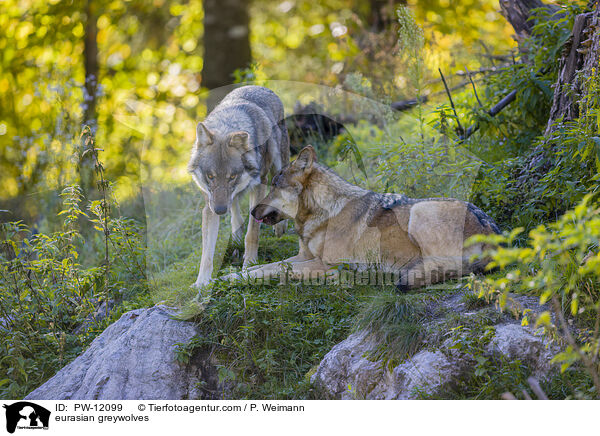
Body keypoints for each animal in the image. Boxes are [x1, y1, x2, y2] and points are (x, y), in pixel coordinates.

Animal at [189, 85, 290, 290]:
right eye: (210, 176)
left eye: (232, 177)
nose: (220, 210)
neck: (227, 125)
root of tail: (260, 87)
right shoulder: (209, 204)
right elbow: (207, 251)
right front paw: (201, 282)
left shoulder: (259, 186)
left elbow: (252, 233)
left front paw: (250, 263)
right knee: (235, 212)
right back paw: (235, 236)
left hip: (278, 164)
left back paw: (280, 227)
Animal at [223, 146, 500, 290]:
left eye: (274, 186)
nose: (252, 212)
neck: (323, 212)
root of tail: (495, 234)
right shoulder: (304, 255)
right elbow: (263, 266)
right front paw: (228, 276)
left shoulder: (326, 264)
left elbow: (277, 268)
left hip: (420, 212)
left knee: (443, 267)